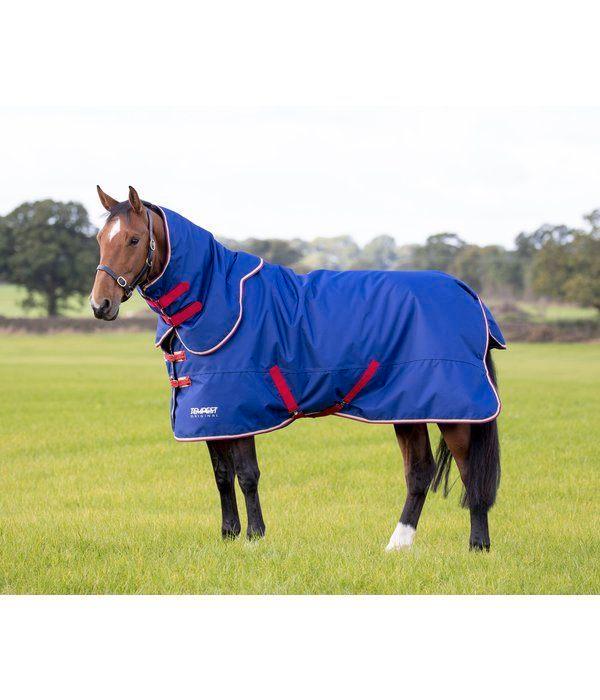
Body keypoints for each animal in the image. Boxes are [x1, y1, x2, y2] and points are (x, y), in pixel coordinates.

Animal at [90, 185, 504, 551]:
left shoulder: (240, 411)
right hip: (408, 409)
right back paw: (397, 545)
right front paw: (228, 535)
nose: (100, 304)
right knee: (419, 472)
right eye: (99, 239)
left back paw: (478, 544)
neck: (213, 298)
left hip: (454, 411)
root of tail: (468, 294)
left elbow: (247, 475)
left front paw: (255, 537)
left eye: (133, 239)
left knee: (470, 473)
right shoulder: (211, 415)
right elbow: (222, 476)